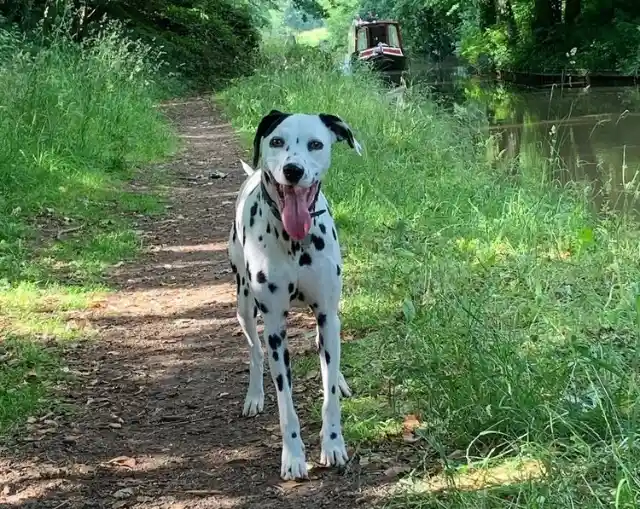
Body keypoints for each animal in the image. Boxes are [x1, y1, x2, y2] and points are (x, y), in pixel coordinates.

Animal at [229, 109, 360, 478]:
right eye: (277, 141)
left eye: (315, 144)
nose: (293, 170)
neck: (294, 241)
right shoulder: (275, 328)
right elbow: (285, 402)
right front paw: (293, 457)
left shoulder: (327, 314)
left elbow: (329, 395)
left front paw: (333, 444)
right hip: (244, 306)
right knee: (255, 352)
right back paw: (255, 396)